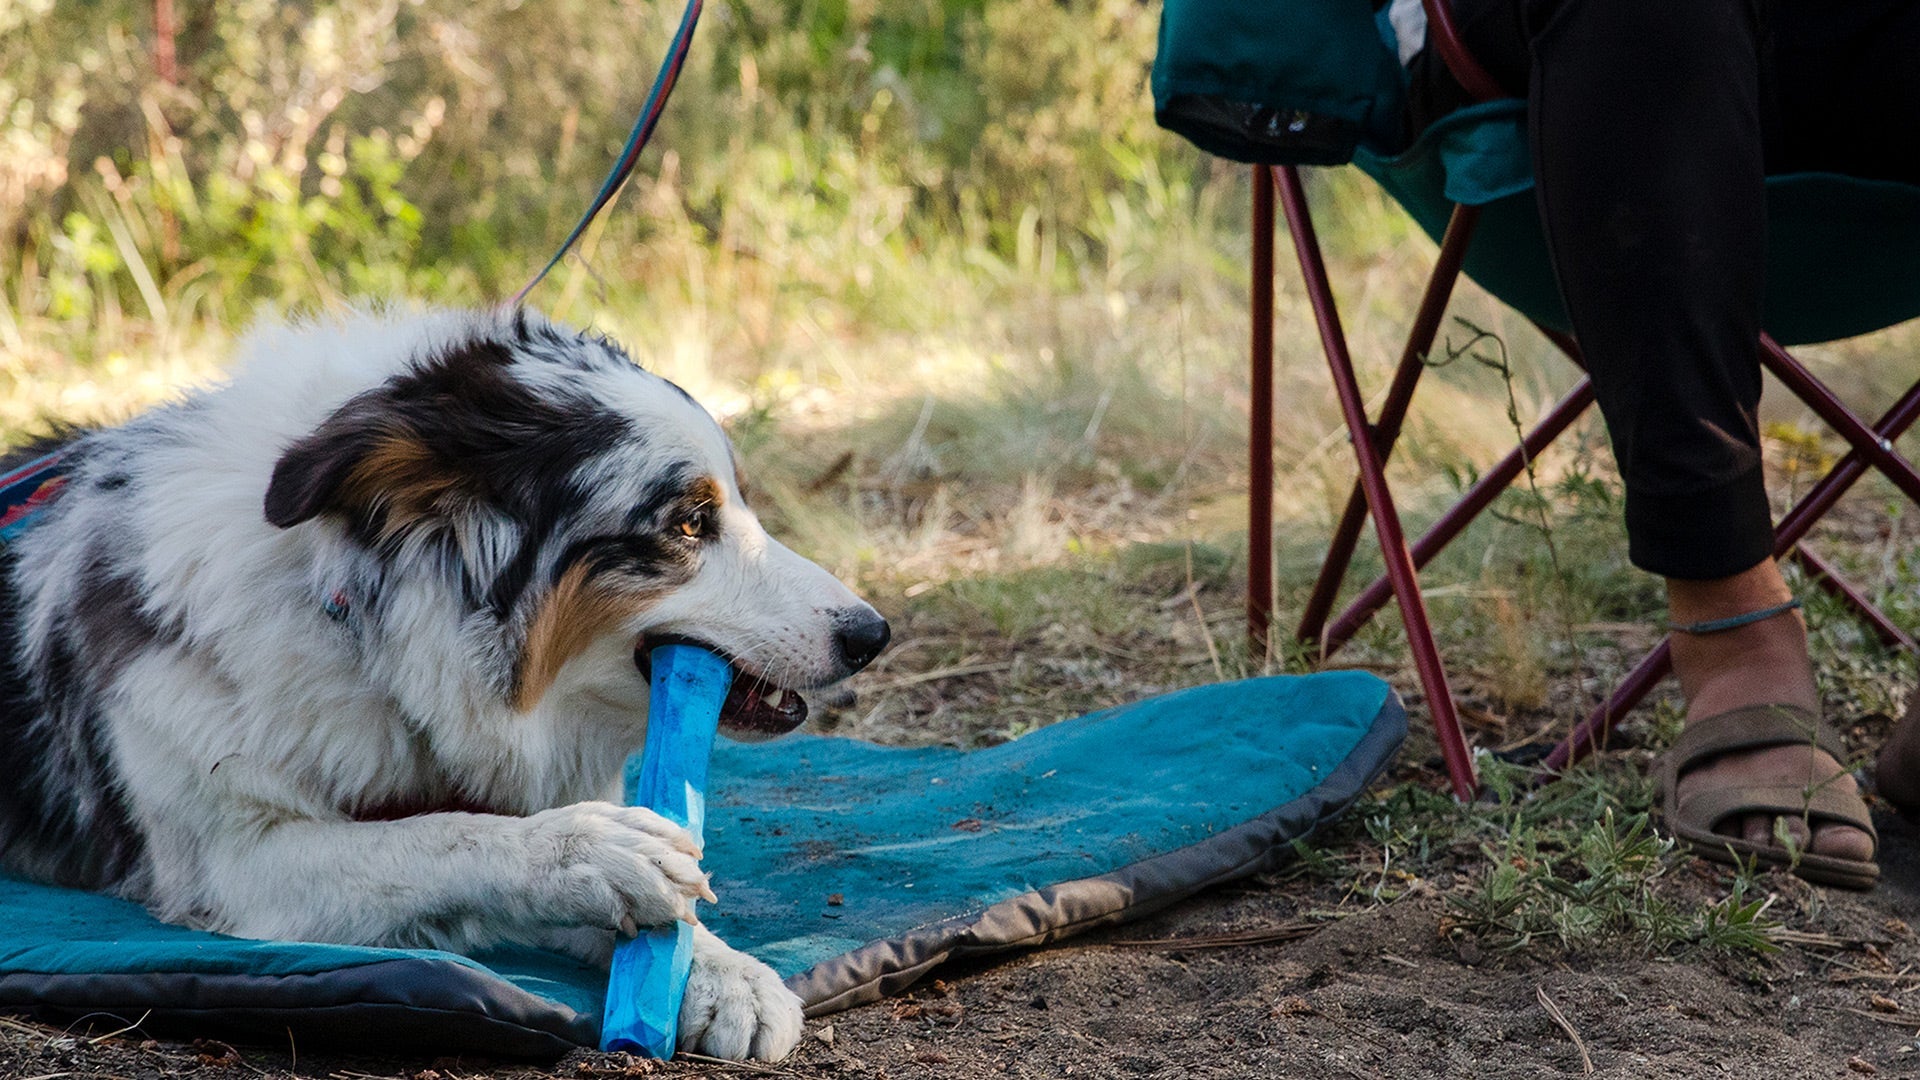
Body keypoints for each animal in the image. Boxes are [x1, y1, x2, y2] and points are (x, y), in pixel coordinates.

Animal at [0, 305, 890, 1060]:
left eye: (738, 503)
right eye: (689, 523)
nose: (872, 635)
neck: (366, 629)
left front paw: (726, 972)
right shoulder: (231, 858)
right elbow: (437, 836)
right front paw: (592, 853)